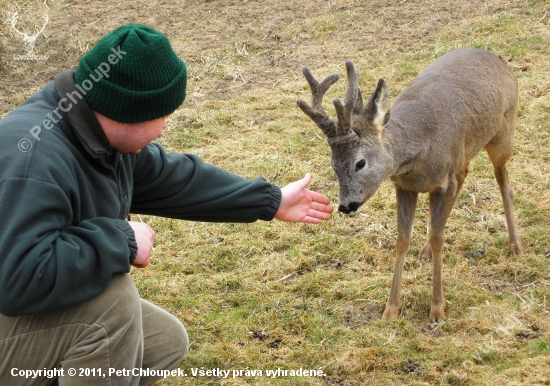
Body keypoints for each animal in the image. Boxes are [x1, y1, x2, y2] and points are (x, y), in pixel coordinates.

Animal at [300, 48, 524, 322]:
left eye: (360, 163)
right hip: (465, 154)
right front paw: (390, 309)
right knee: (465, 174)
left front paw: (437, 309)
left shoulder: (442, 181)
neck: (419, 153)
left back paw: (515, 245)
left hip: (503, 133)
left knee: (504, 182)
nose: (345, 205)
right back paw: (425, 249)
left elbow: (438, 237)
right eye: (333, 164)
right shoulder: (405, 187)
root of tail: (498, 60)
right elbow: (402, 240)